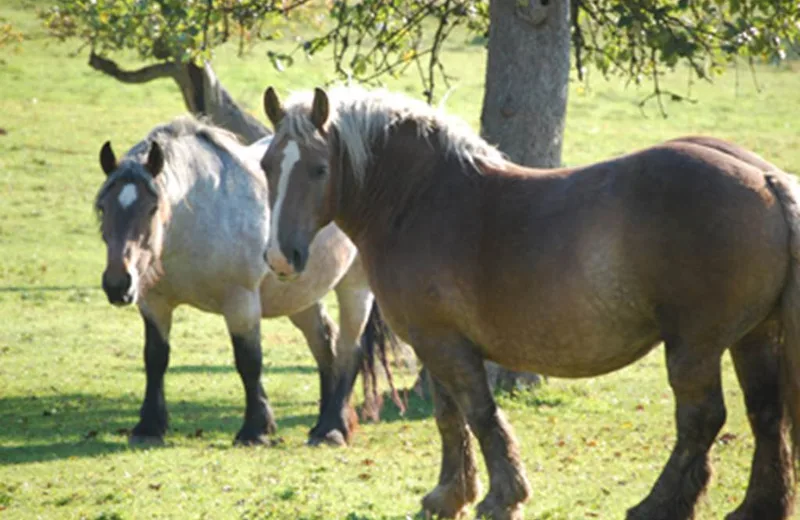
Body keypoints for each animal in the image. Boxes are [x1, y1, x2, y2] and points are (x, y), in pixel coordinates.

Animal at [92, 117, 390, 446]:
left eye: (152, 208)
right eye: (103, 208)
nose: (118, 284)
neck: (197, 218)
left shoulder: (241, 302)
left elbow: (249, 361)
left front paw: (255, 429)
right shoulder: (154, 304)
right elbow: (155, 358)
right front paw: (149, 426)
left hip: (355, 287)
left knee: (350, 349)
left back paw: (332, 428)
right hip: (300, 295)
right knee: (325, 344)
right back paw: (324, 422)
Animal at [260, 86, 800, 520]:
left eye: (319, 169)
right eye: (266, 166)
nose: (280, 258)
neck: (419, 200)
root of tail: (767, 179)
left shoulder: (445, 345)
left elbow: (479, 415)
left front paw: (503, 497)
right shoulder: (433, 344)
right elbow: (449, 418)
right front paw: (449, 496)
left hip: (695, 346)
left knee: (701, 419)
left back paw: (657, 505)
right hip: (754, 338)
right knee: (766, 414)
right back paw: (757, 507)